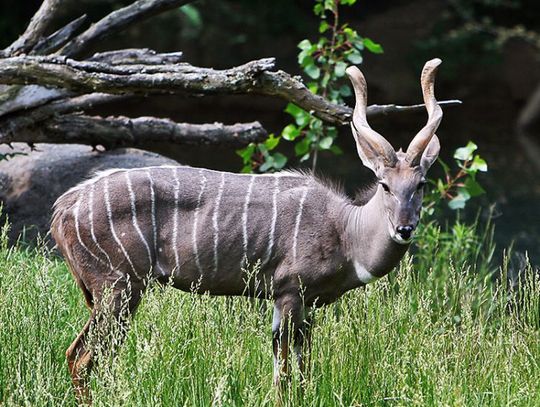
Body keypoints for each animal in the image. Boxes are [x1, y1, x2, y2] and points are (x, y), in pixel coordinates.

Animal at [51, 59, 442, 404]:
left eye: (421, 183)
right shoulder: (288, 292)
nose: (404, 228)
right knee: (83, 358)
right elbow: (283, 374)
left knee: (89, 356)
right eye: (384, 184)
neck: (345, 230)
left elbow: (303, 371)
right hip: (118, 287)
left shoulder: (307, 304)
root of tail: (65, 207)